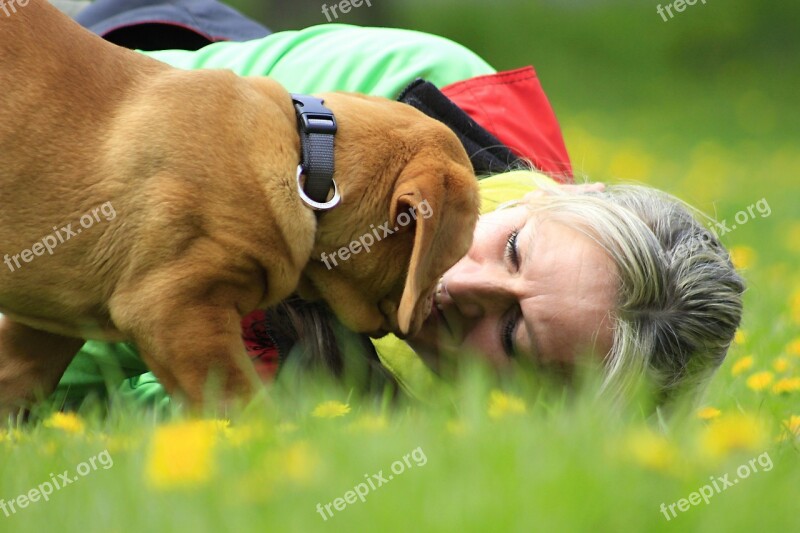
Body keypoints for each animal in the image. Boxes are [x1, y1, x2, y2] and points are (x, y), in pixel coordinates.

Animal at [0, 0, 478, 410]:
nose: (437, 310)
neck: (307, 155)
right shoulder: (175, 309)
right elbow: (240, 402)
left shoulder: (49, 316)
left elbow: (15, 379)